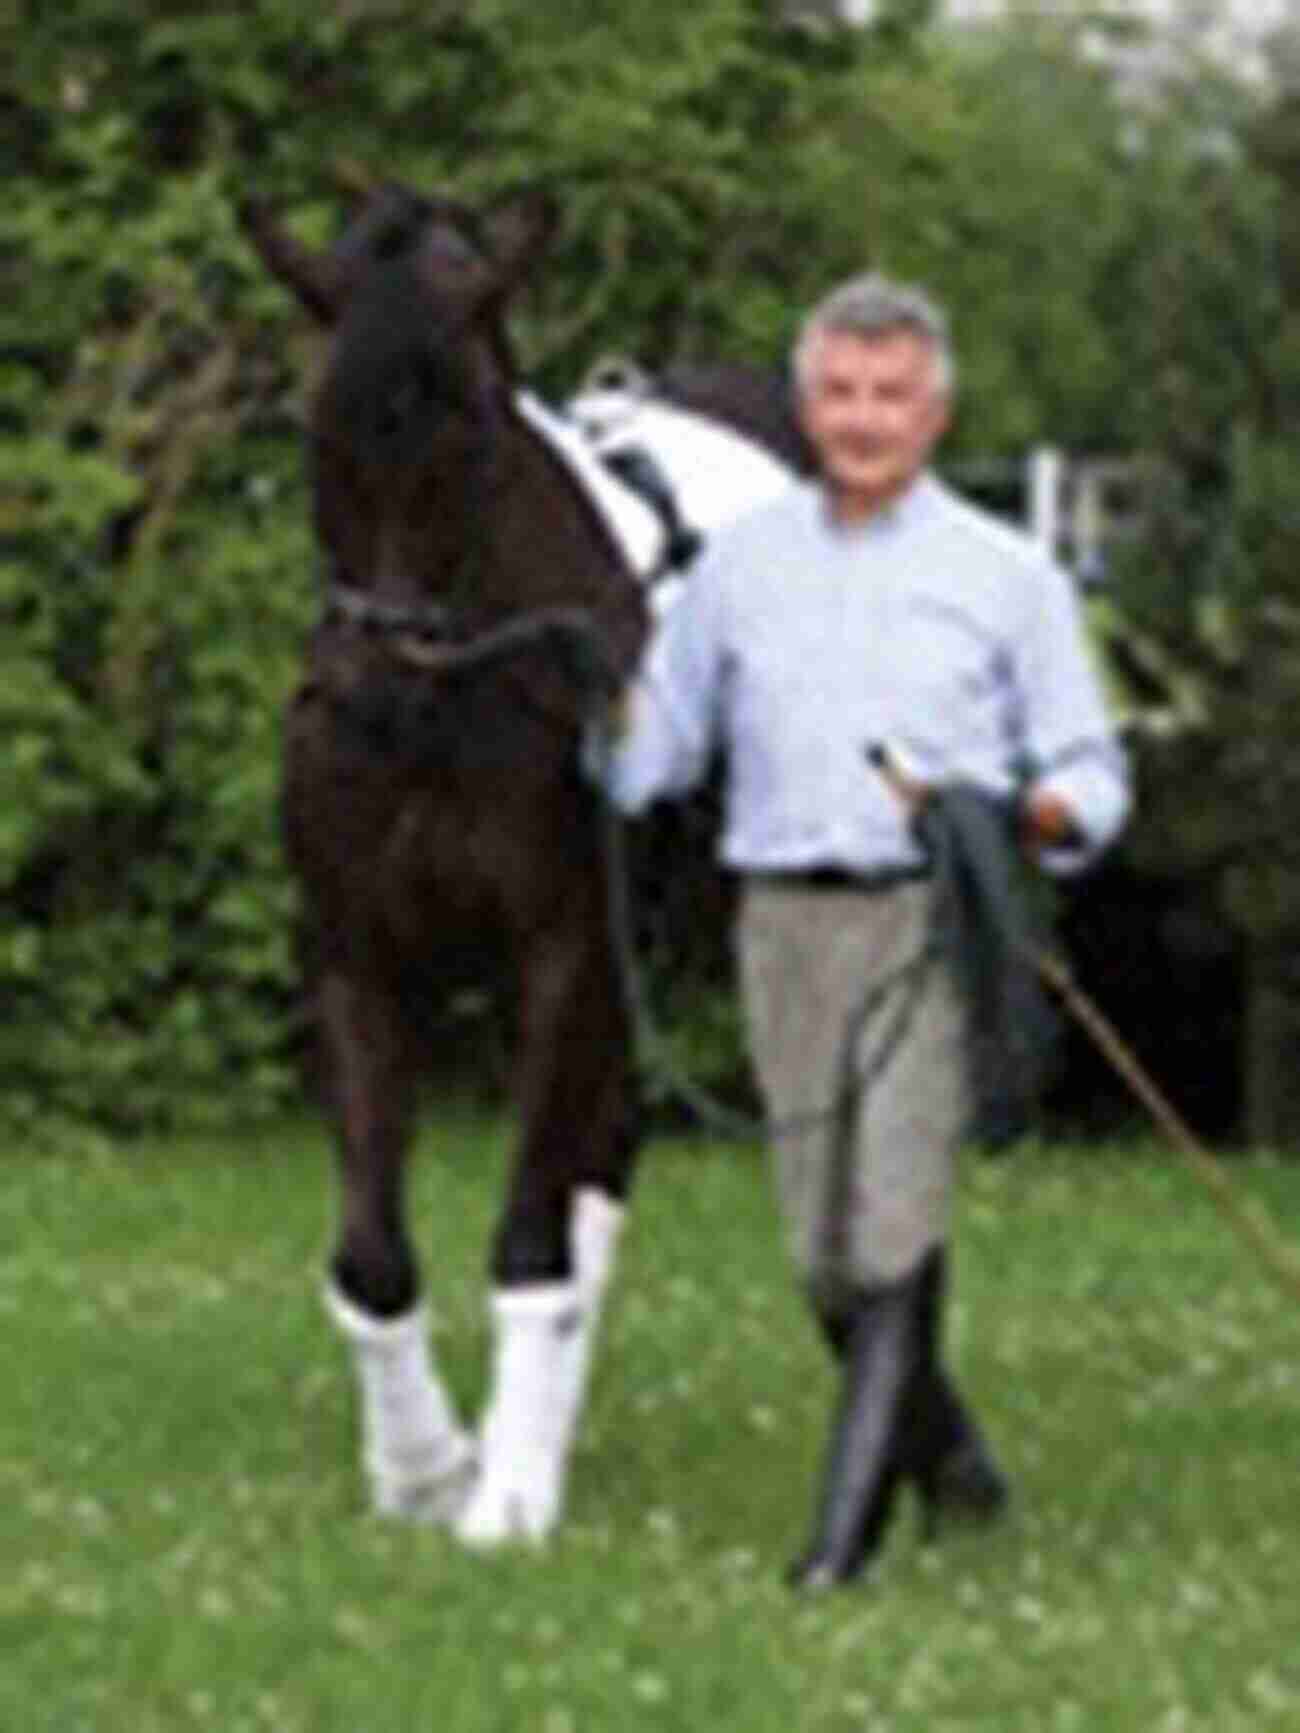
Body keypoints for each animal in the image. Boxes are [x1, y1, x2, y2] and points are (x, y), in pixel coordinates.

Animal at [242, 189, 648, 1545]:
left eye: (470, 433)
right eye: (313, 426)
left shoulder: (567, 953)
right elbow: (370, 1256)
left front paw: (504, 1494)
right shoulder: (358, 961)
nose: (364, 690)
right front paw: (424, 1466)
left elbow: (530, 1235)